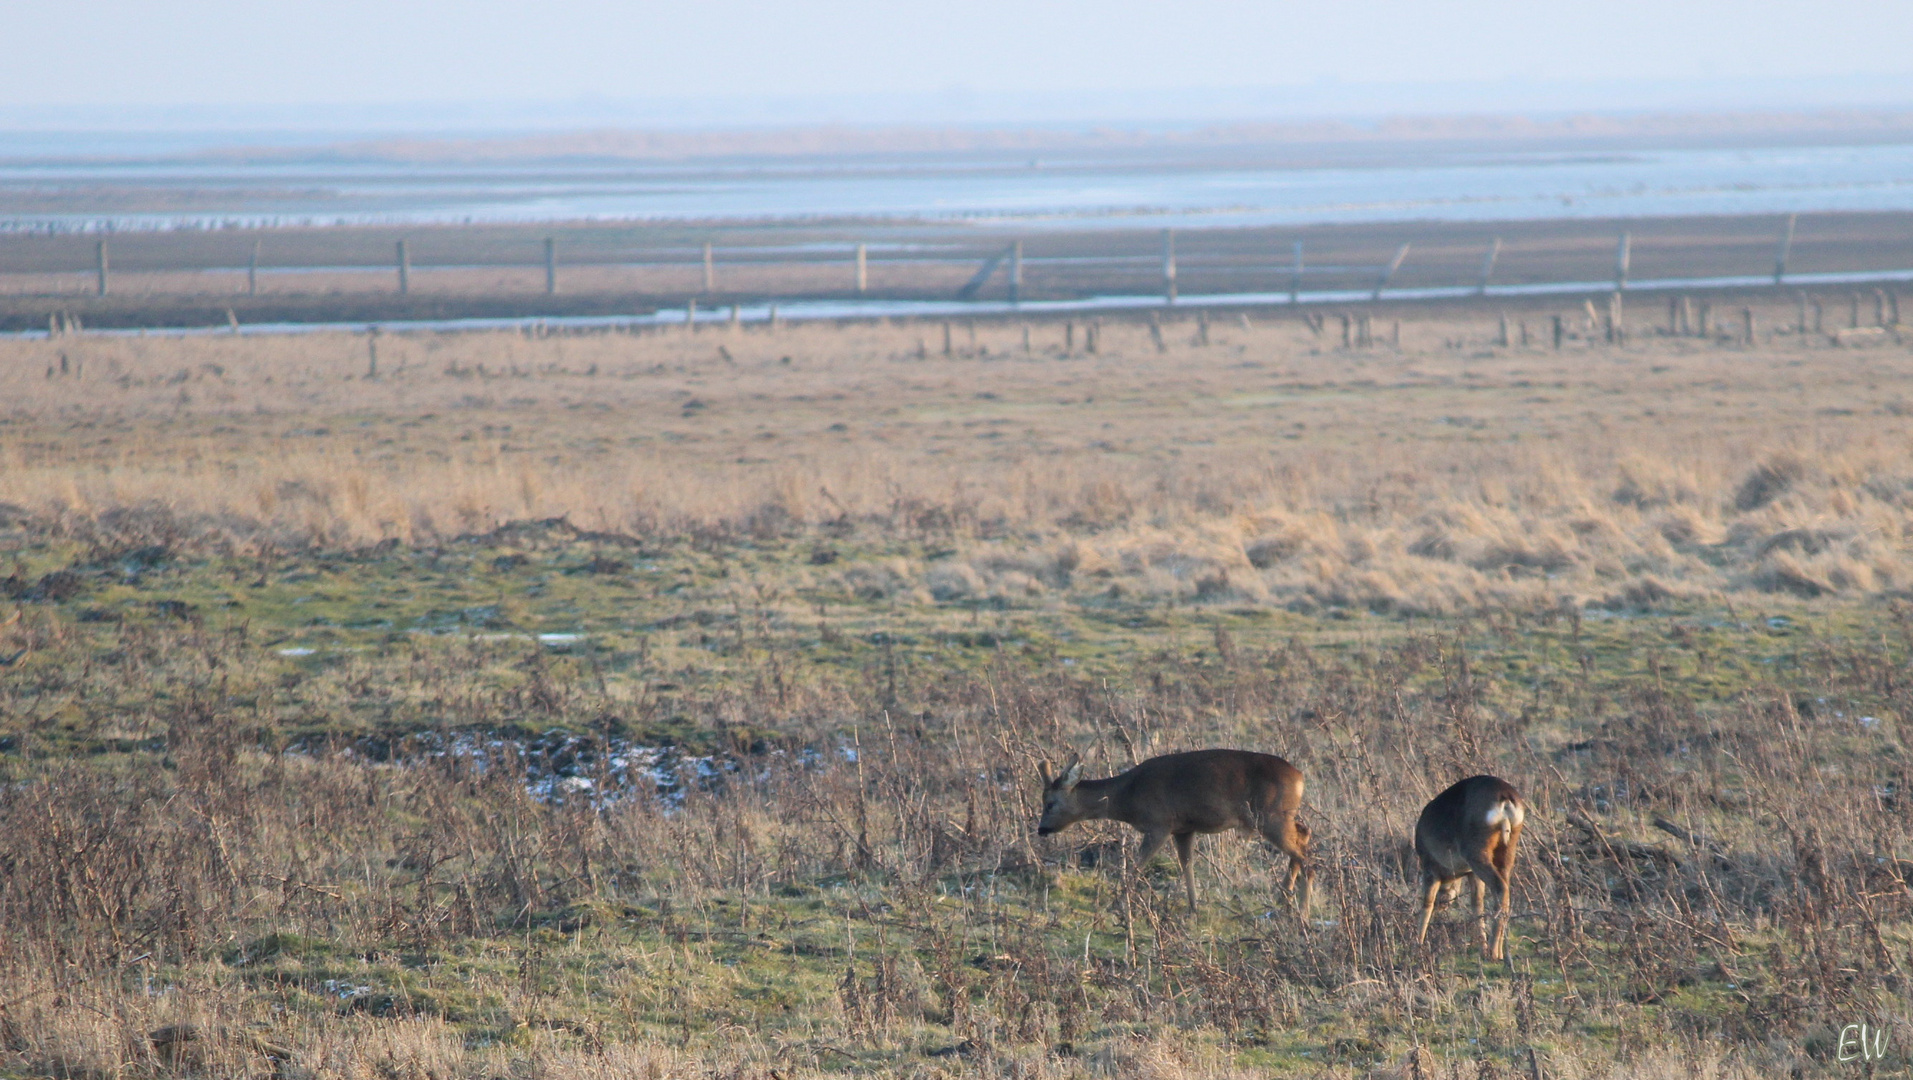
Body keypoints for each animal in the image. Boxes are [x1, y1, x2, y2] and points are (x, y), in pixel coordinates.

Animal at [1033, 749, 1316, 917]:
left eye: (1050, 804)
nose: (1041, 829)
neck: (1128, 797)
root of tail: (1301, 777)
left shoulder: (1159, 823)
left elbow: (1138, 865)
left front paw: (1119, 903)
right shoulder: (1184, 828)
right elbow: (1186, 864)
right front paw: (1193, 907)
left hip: (1269, 816)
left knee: (1306, 858)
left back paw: (1302, 911)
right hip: (1280, 816)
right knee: (1304, 834)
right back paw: (1284, 898)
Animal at [1415, 776, 1530, 959]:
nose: (1443, 905)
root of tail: (1505, 797)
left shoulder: (1429, 865)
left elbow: (1427, 903)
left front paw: (1417, 945)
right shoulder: (1470, 873)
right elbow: (1477, 904)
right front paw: (1481, 947)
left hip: (1475, 849)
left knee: (1500, 886)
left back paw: (1494, 952)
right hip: (1509, 846)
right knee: (1503, 889)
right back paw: (1497, 951)